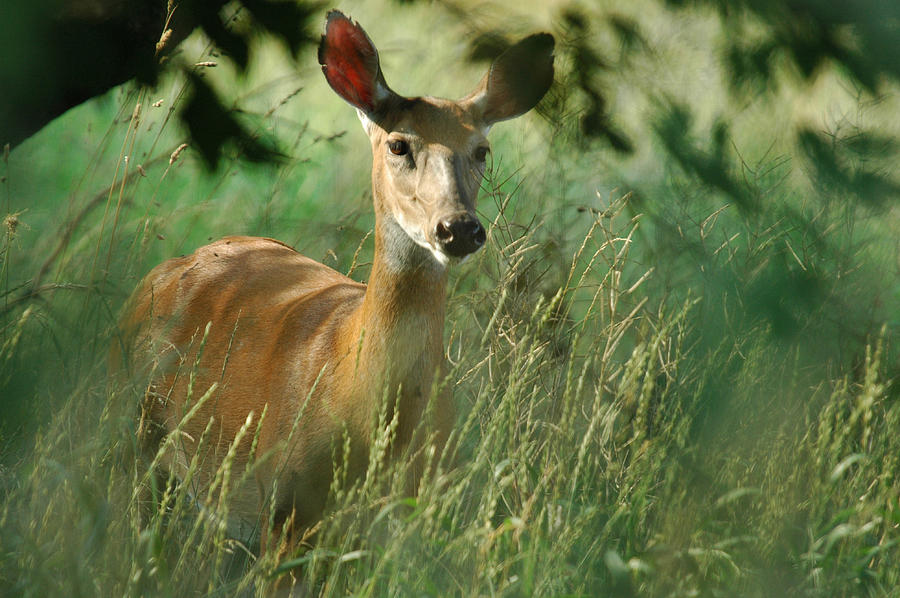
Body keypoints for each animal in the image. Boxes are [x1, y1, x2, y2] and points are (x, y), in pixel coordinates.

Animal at [116, 7, 552, 564]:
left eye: (482, 150)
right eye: (398, 144)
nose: (458, 228)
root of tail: (169, 267)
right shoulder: (285, 507)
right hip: (130, 429)